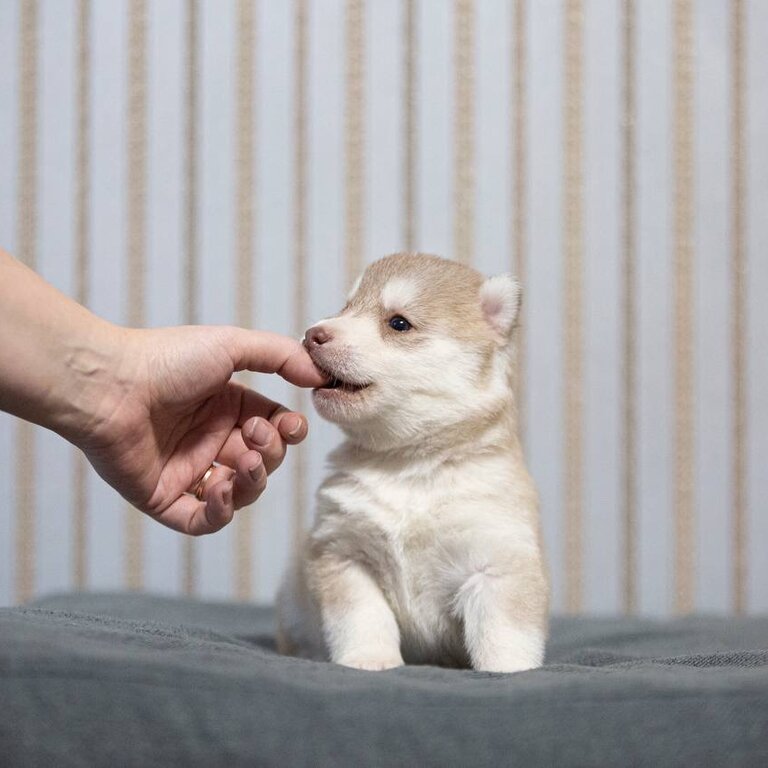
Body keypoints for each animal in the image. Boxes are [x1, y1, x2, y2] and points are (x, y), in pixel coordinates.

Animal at [280, 254, 548, 672]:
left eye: (398, 323)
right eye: (346, 307)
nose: (314, 334)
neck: (409, 465)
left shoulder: (498, 562)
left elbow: (504, 633)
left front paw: (509, 670)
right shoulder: (343, 552)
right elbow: (362, 619)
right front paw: (369, 660)